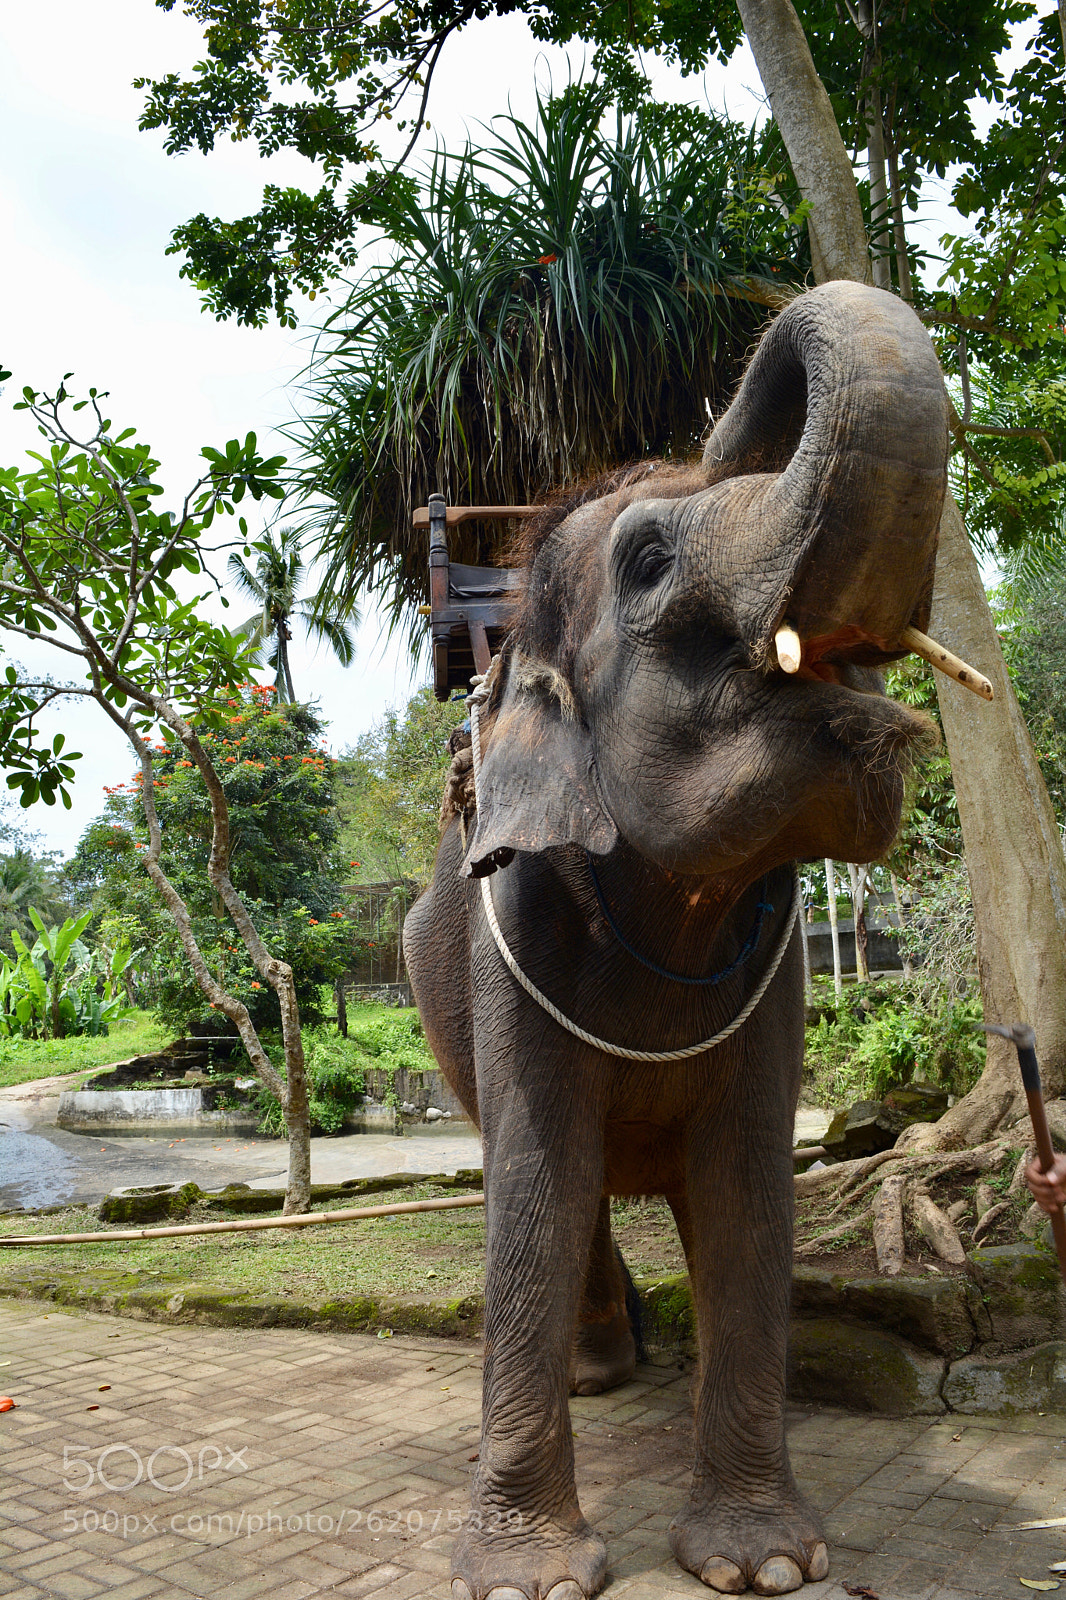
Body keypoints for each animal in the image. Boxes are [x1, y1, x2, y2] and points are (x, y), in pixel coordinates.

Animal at [403, 281, 949, 1600]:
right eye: (649, 562)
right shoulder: (512, 941)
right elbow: (538, 1185)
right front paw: (531, 1576)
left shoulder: (779, 972)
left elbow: (748, 1186)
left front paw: (767, 1564)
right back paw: (599, 1373)